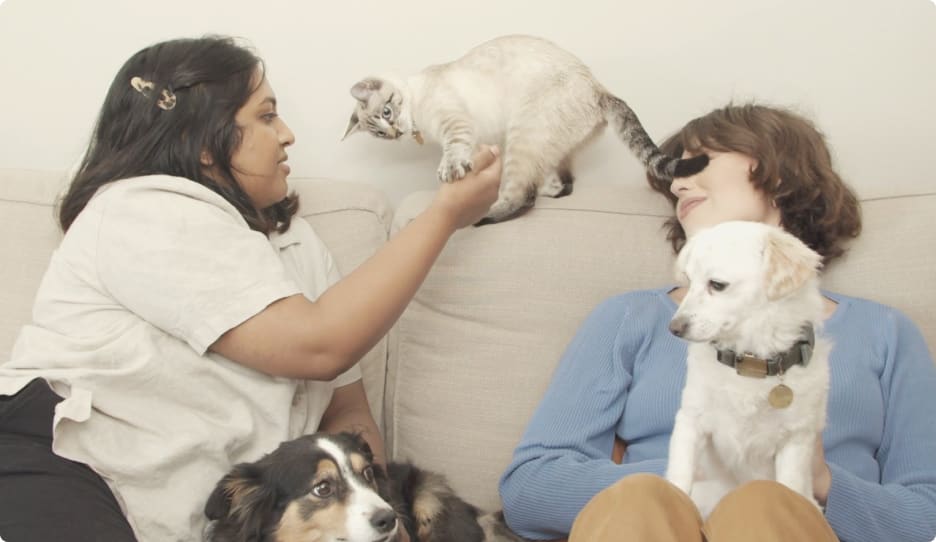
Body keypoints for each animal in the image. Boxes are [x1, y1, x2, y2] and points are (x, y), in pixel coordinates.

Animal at [664, 221, 828, 520]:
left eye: (717, 285)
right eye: (689, 282)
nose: (674, 328)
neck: (749, 361)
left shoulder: (795, 441)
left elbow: (790, 487)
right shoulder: (690, 422)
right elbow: (679, 474)